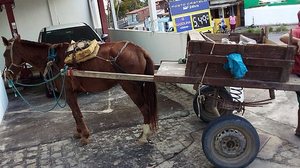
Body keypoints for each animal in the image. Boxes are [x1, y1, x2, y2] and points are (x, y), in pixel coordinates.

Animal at [1, 35, 157, 144]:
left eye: (4, 55)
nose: (6, 75)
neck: (54, 59)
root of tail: (139, 49)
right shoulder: (70, 93)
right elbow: (74, 113)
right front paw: (79, 132)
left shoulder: (68, 92)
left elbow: (76, 113)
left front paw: (84, 136)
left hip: (131, 87)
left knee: (145, 108)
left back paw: (144, 136)